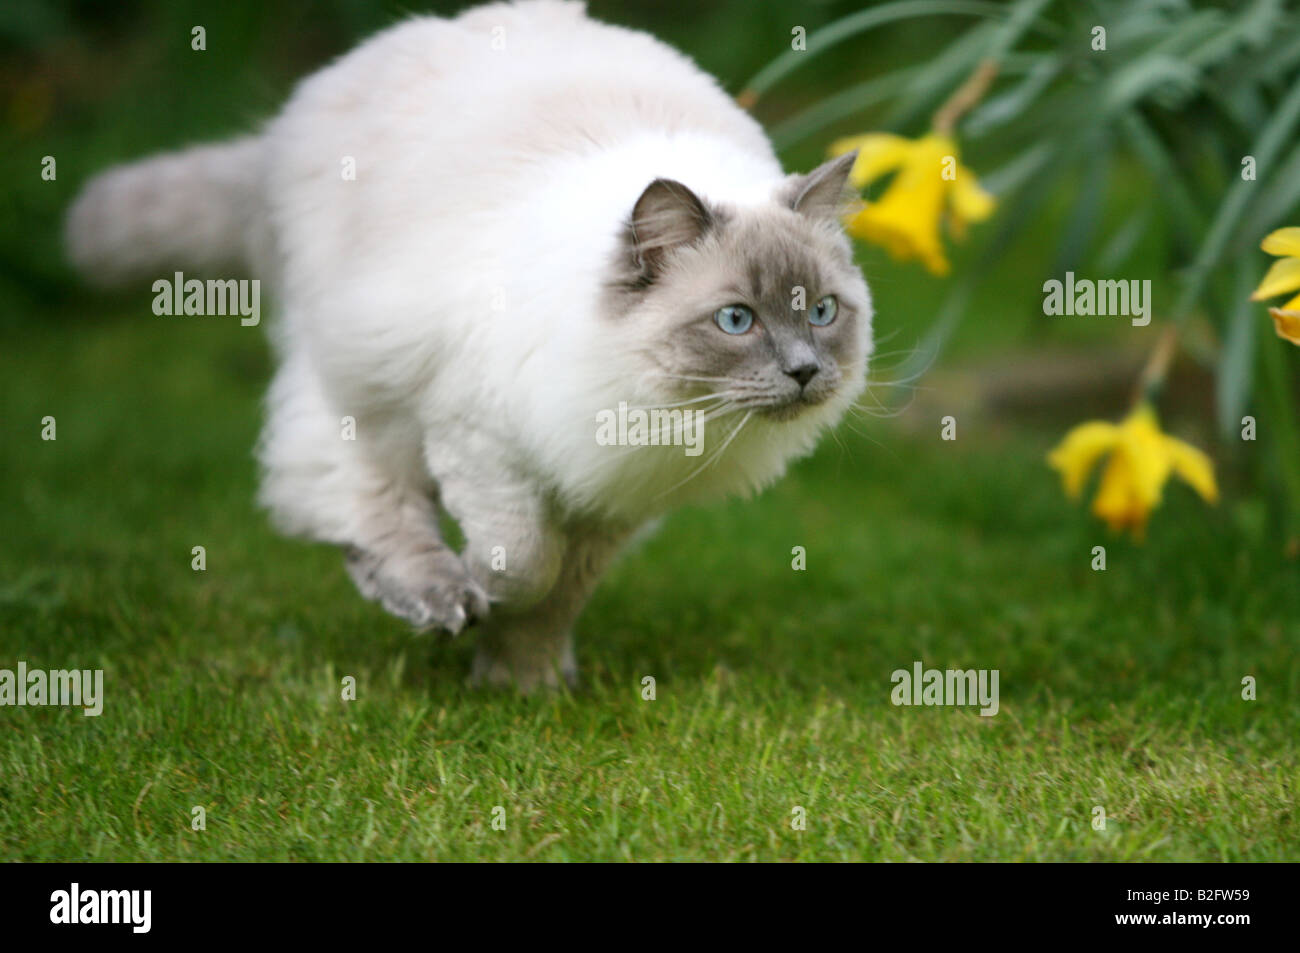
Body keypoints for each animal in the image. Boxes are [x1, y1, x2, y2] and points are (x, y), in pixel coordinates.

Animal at [63, 0, 873, 686]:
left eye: (822, 311)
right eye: (737, 321)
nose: (805, 371)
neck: (663, 412)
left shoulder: (614, 499)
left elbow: (558, 596)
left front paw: (524, 682)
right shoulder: (481, 438)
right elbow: (525, 564)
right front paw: (480, 602)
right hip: (364, 379)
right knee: (349, 492)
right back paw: (431, 597)